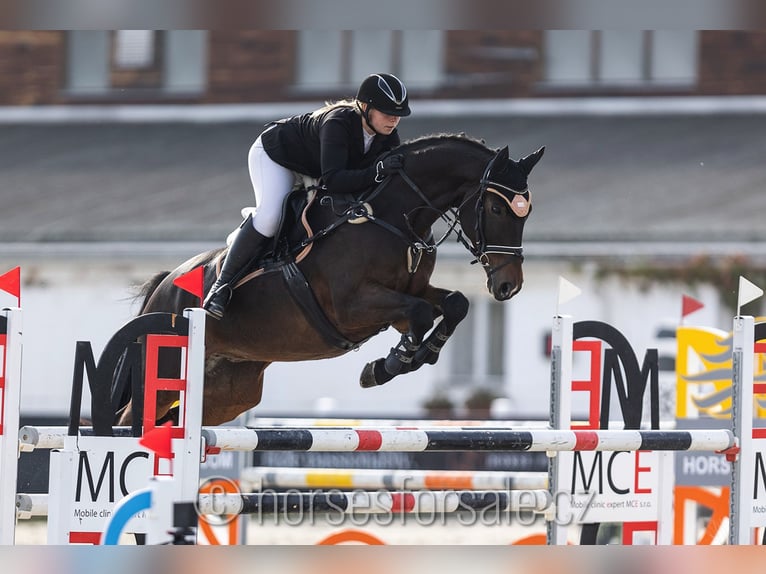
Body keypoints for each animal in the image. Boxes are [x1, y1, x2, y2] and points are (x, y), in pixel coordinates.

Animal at [115, 134, 545, 427]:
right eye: (495, 209)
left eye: (526, 213)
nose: (508, 286)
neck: (390, 216)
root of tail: (164, 286)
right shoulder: (351, 306)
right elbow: (421, 313)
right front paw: (389, 364)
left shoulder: (408, 294)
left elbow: (455, 303)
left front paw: (419, 355)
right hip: (168, 370)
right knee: (128, 420)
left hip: (227, 392)